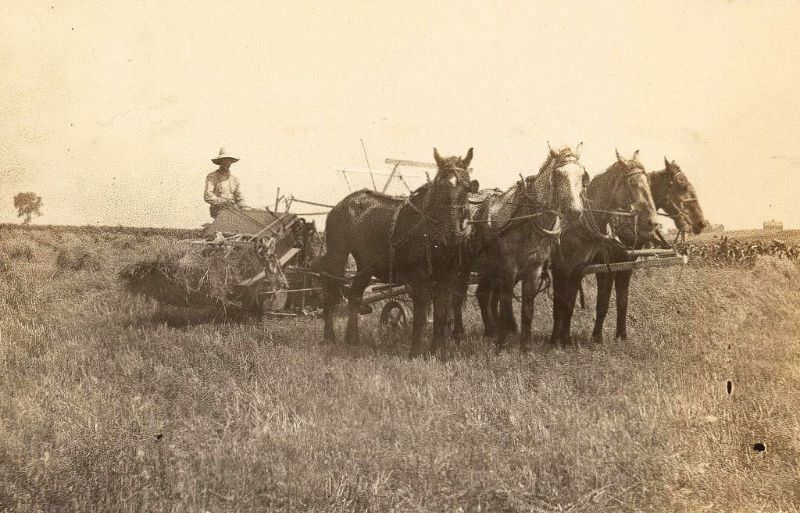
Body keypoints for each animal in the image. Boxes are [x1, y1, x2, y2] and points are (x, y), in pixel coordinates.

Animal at [315, 148, 478, 357]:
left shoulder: (446, 278)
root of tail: (341, 204)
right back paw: (329, 337)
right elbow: (421, 314)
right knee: (330, 290)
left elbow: (441, 313)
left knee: (355, 295)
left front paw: (436, 351)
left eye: (467, 188)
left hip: (366, 265)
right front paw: (415, 352)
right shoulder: (419, 278)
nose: (453, 234)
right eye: (440, 186)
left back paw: (353, 339)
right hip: (338, 254)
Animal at [452, 143, 588, 350]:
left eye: (582, 174)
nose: (575, 212)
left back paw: (489, 331)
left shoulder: (534, 270)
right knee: (457, 296)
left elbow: (527, 309)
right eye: (558, 174)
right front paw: (503, 343)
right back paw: (458, 332)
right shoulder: (509, 269)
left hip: (487, 268)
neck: (527, 218)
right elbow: (506, 306)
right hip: (461, 266)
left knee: (482, 295)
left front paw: (525, 346)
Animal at [550, 149, 660, 348]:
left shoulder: (621, 268)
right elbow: (564, 302)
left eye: (649, 183)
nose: (653, 223)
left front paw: (620, 336)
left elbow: (620, 301)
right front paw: (562, 339)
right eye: (632, 183)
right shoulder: (565, 268)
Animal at [590, 157, 708, 343]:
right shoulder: (605, 268)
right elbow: (602, 303)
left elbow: (623, 301)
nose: (701, 223)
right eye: (681, 185)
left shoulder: (626, 266)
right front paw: (596, 337)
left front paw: (621, 335)